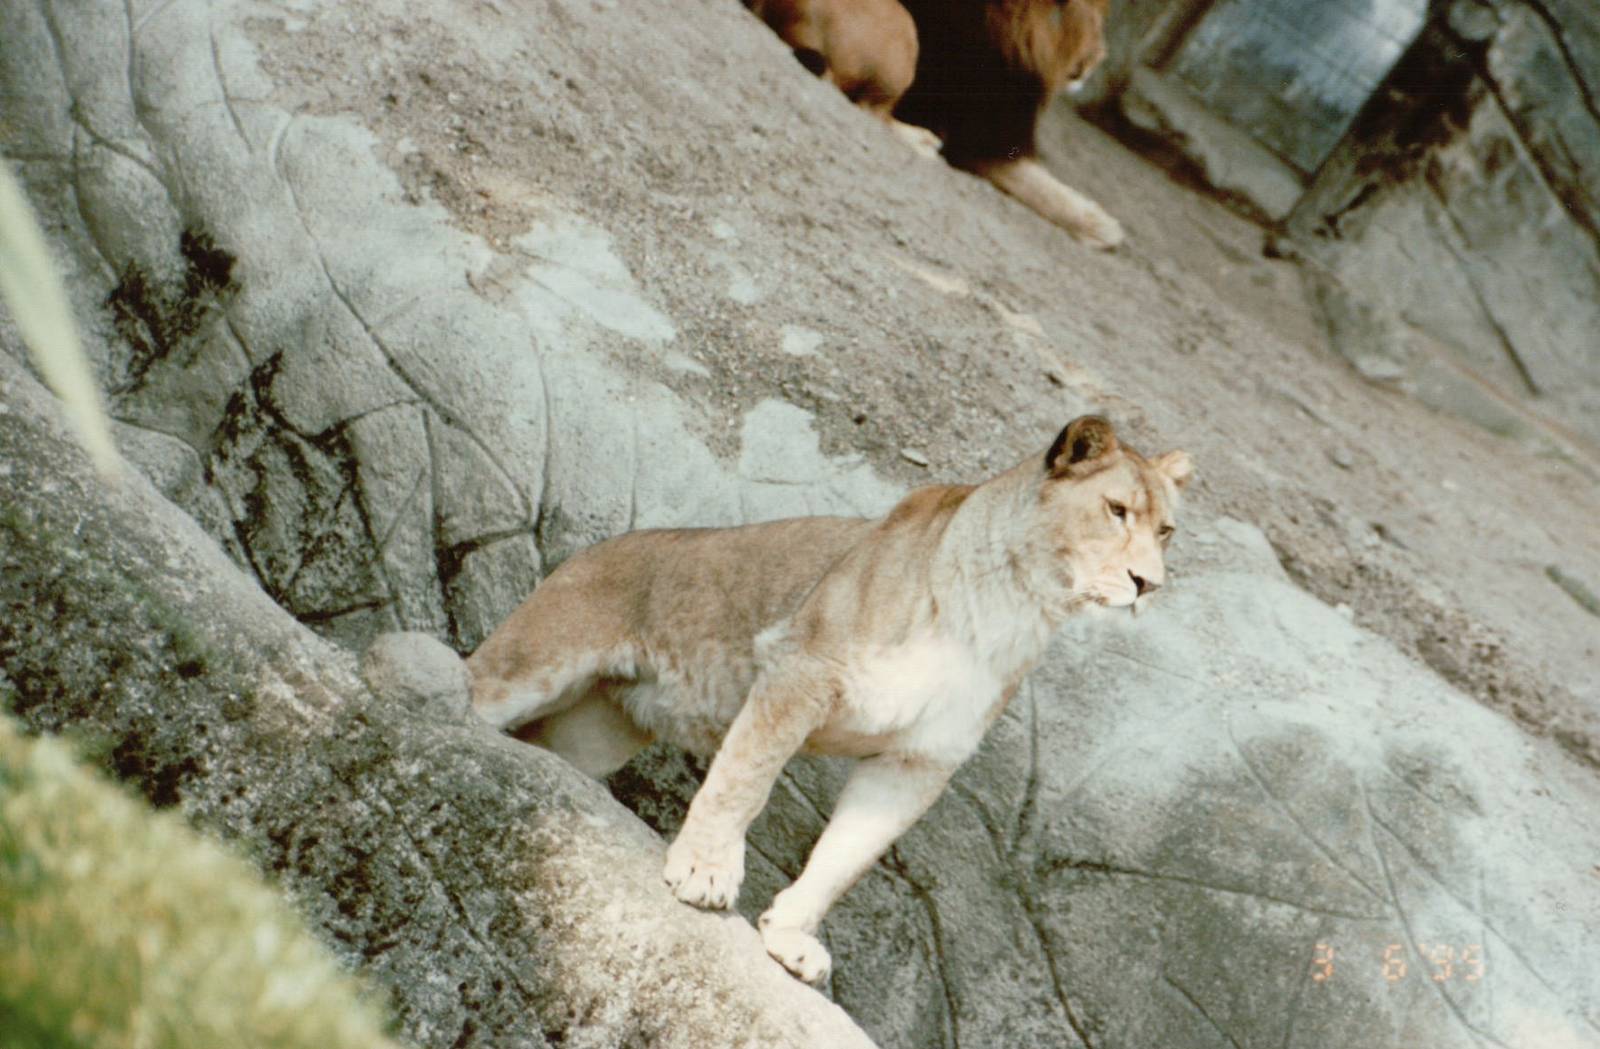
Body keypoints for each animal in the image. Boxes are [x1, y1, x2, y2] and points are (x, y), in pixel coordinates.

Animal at [464, 416, 1191, 982]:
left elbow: (847, 856)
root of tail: (599, 545)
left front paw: (789, 938)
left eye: (1168, 532)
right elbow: (744, 780)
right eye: (1116, 511)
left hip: (592, 733)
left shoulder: (919, 761)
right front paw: (705, 871)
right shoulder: (799, 673)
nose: (1148, 583)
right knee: (465, 681)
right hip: (535, 661)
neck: (1016, 607)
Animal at [745, 0, 1124, 249]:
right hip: (900, 26)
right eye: (1077, 13)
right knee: (864, 106)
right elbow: (1041, 186)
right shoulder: (981, 140)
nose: (1097, 60)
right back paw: (921, 141)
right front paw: (1101, 226)